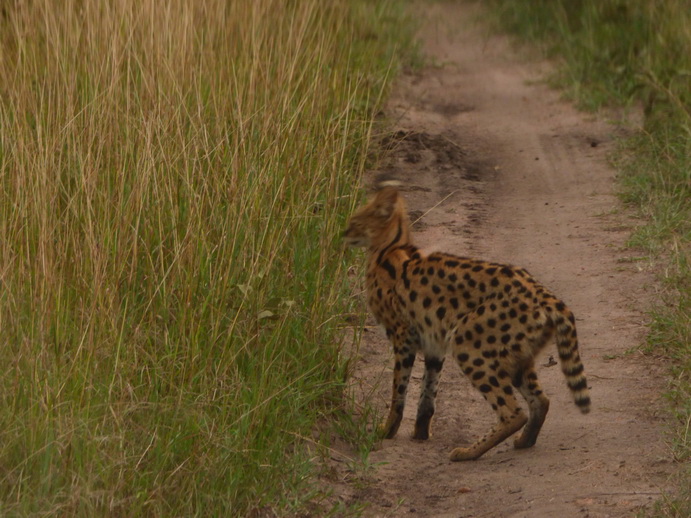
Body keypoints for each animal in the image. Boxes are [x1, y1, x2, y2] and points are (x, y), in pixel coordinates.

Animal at [344, 187, 592, 464]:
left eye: (355, 221)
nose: (344, 233)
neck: (390, 247)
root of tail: (546, 295)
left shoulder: (403, 337)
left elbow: (399, 391)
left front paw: (387, 431)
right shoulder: (433, 344)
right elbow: (428, 392)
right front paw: (420, 432)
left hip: (467, 343)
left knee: (514, 412)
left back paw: (468, 452)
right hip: (517, 354)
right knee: (541, 401)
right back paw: (524, 441)